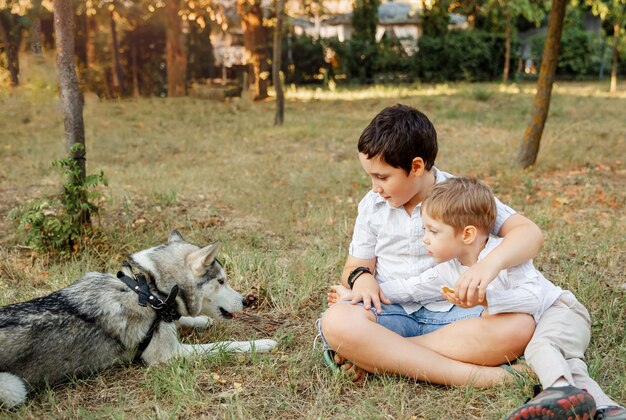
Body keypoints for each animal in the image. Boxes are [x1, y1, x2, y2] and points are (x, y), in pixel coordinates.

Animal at [0, 231, 276, 408]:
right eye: (221, 281)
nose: (246, 301)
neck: (148, 289)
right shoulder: (168, 355)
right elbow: (225, 345)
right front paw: (263, 344)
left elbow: (180, 319)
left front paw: (201, 322)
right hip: (14, 389)